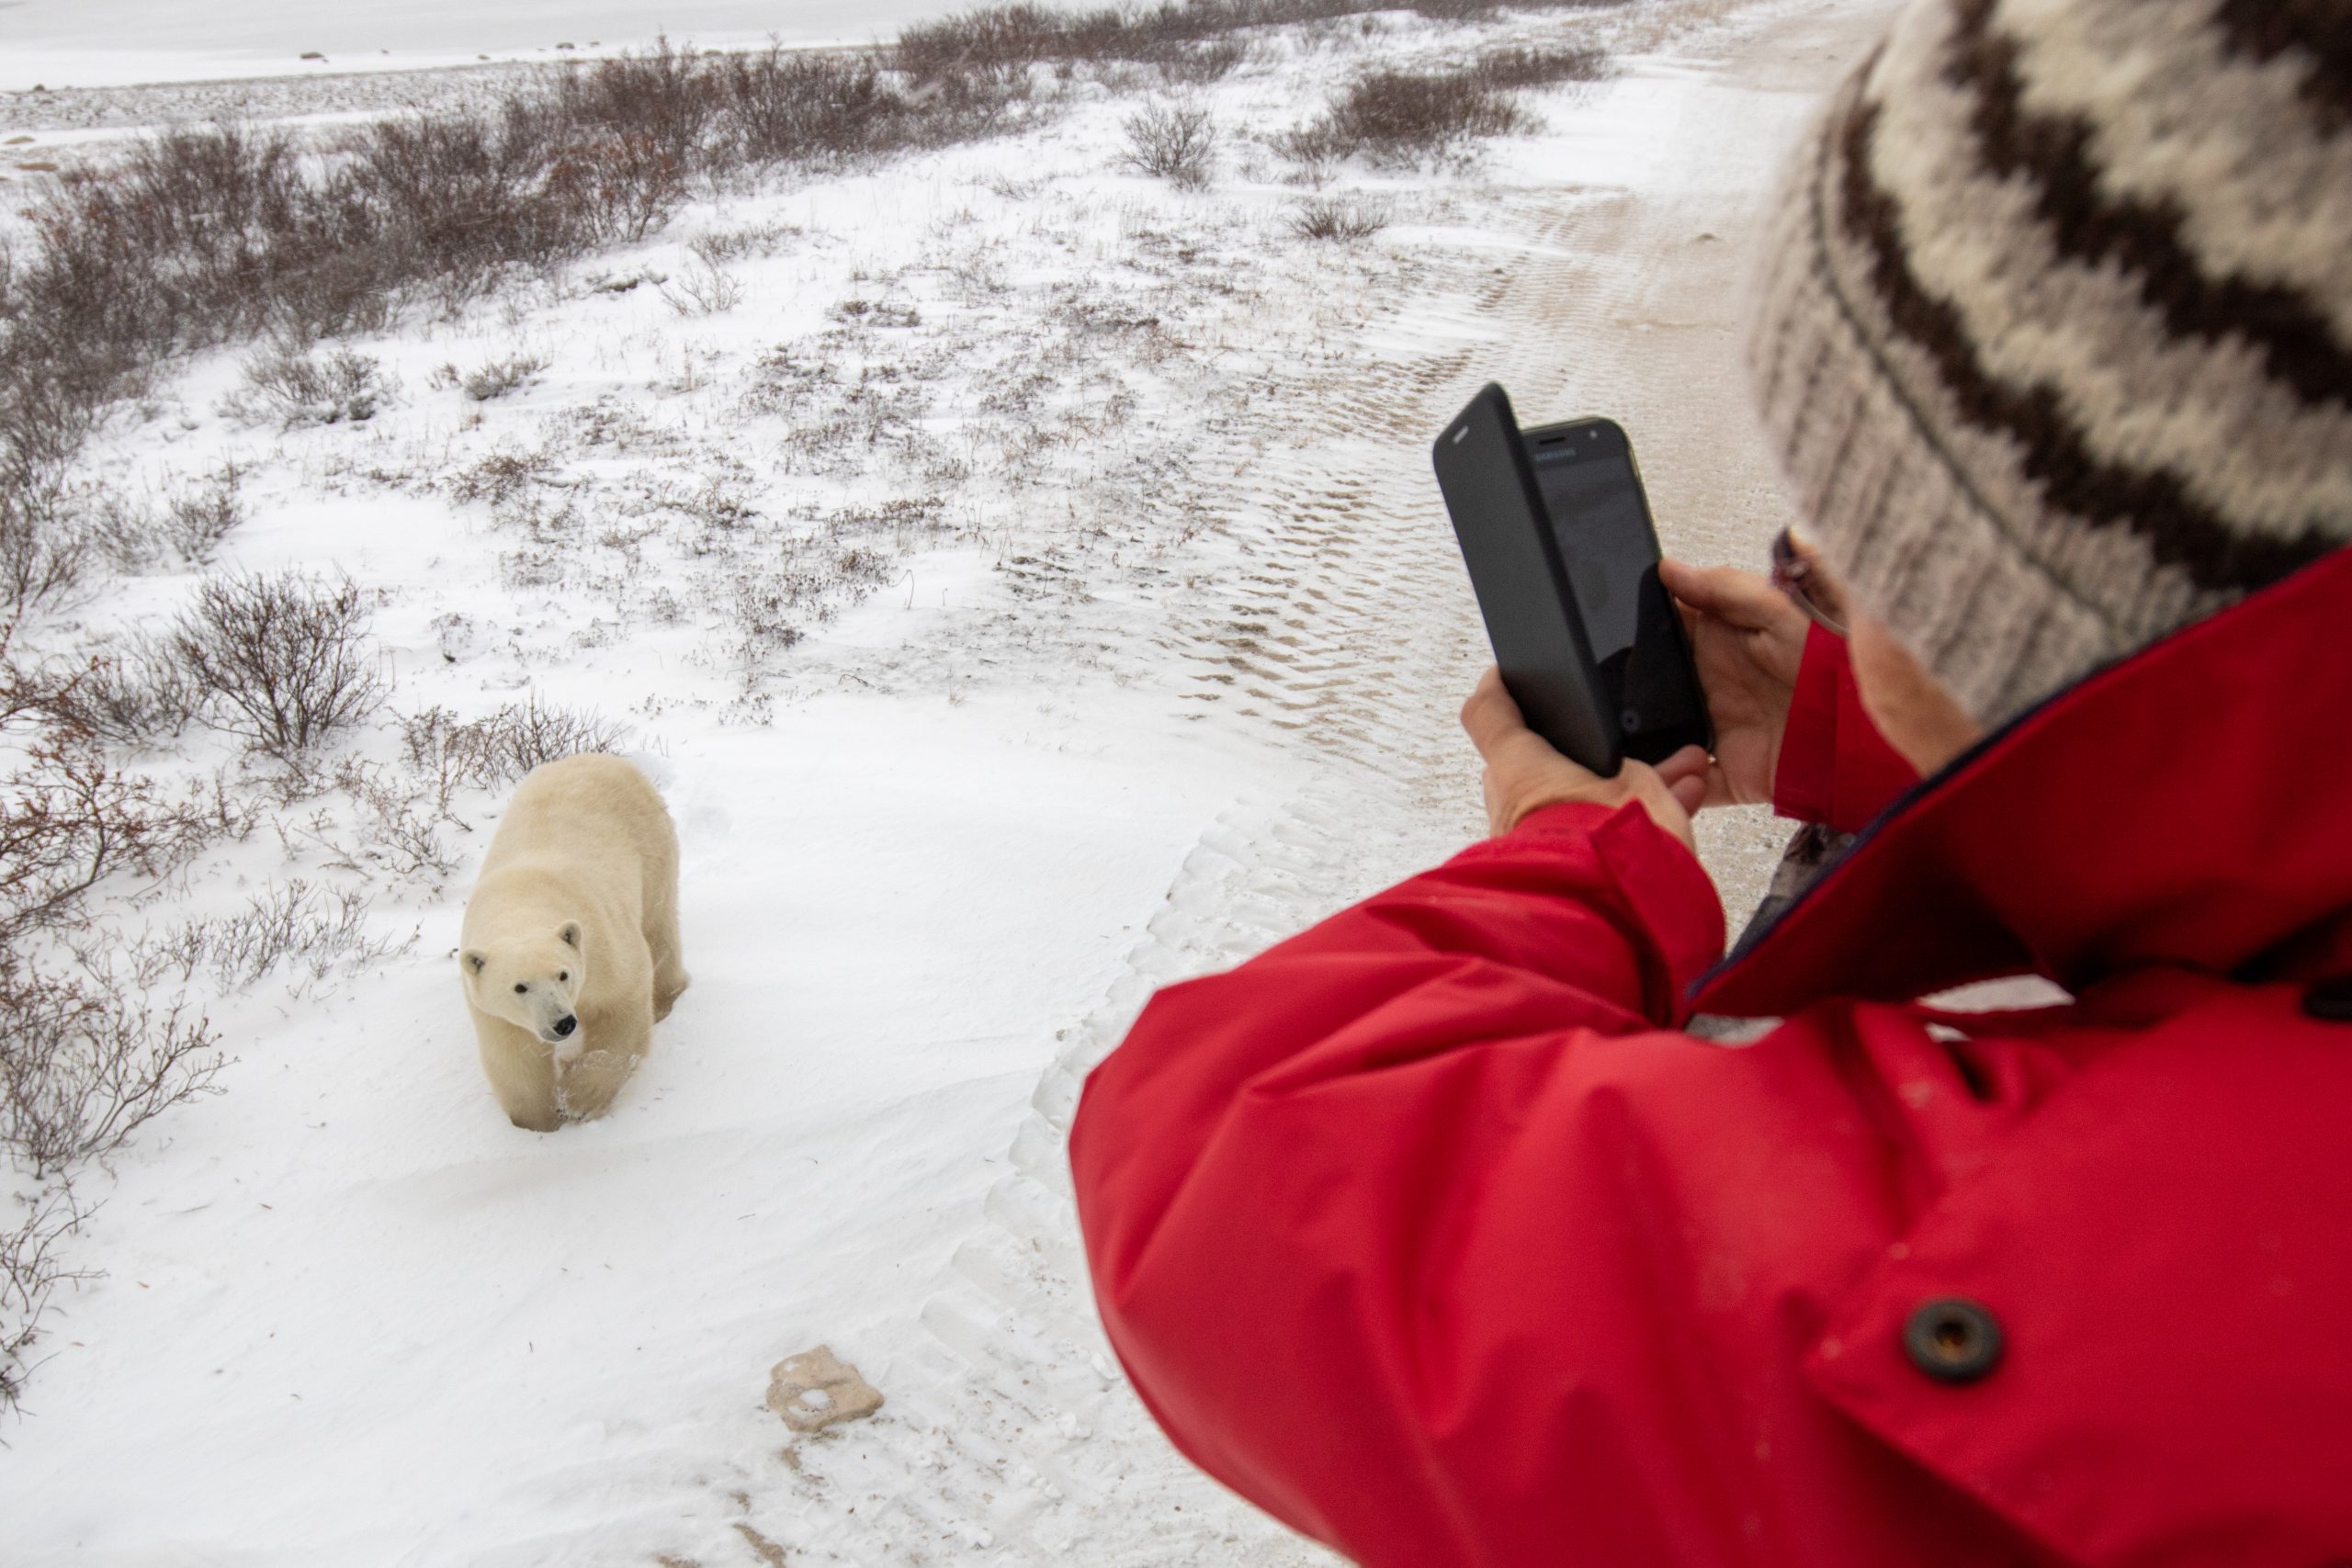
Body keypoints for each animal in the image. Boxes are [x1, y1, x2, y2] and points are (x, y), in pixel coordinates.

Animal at [458, 753, 688, 1131]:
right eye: (519, 987)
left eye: (563, 974)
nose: (563, 1023)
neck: (523, 900)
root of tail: (602, 757)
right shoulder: (488, 1005)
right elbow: (516, 1056)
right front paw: (537, 1123)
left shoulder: (601, 948)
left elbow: (618, 1010)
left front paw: (579, 1100)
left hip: (652, 845)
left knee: (659, 926)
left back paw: (666, 1001)